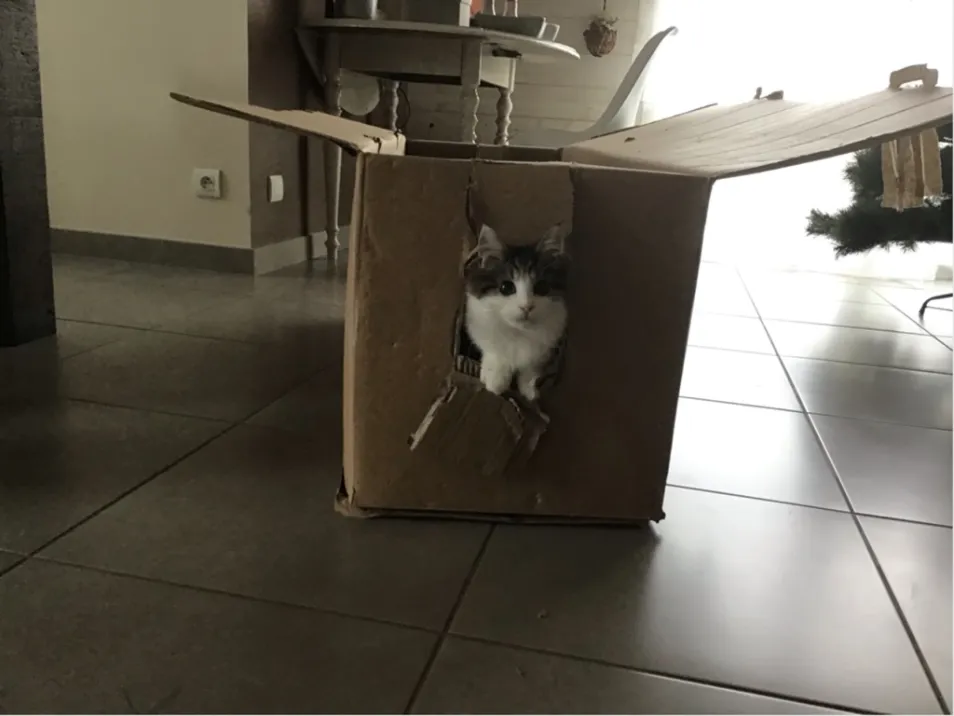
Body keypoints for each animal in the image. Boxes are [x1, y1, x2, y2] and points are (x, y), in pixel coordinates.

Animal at [462, 221, 569, 401]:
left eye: (542, 287)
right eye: (506, 287)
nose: (526, 306)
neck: (520, 333)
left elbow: (532, 365)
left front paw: (529, 388)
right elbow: (494, 350)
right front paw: (496, 379)